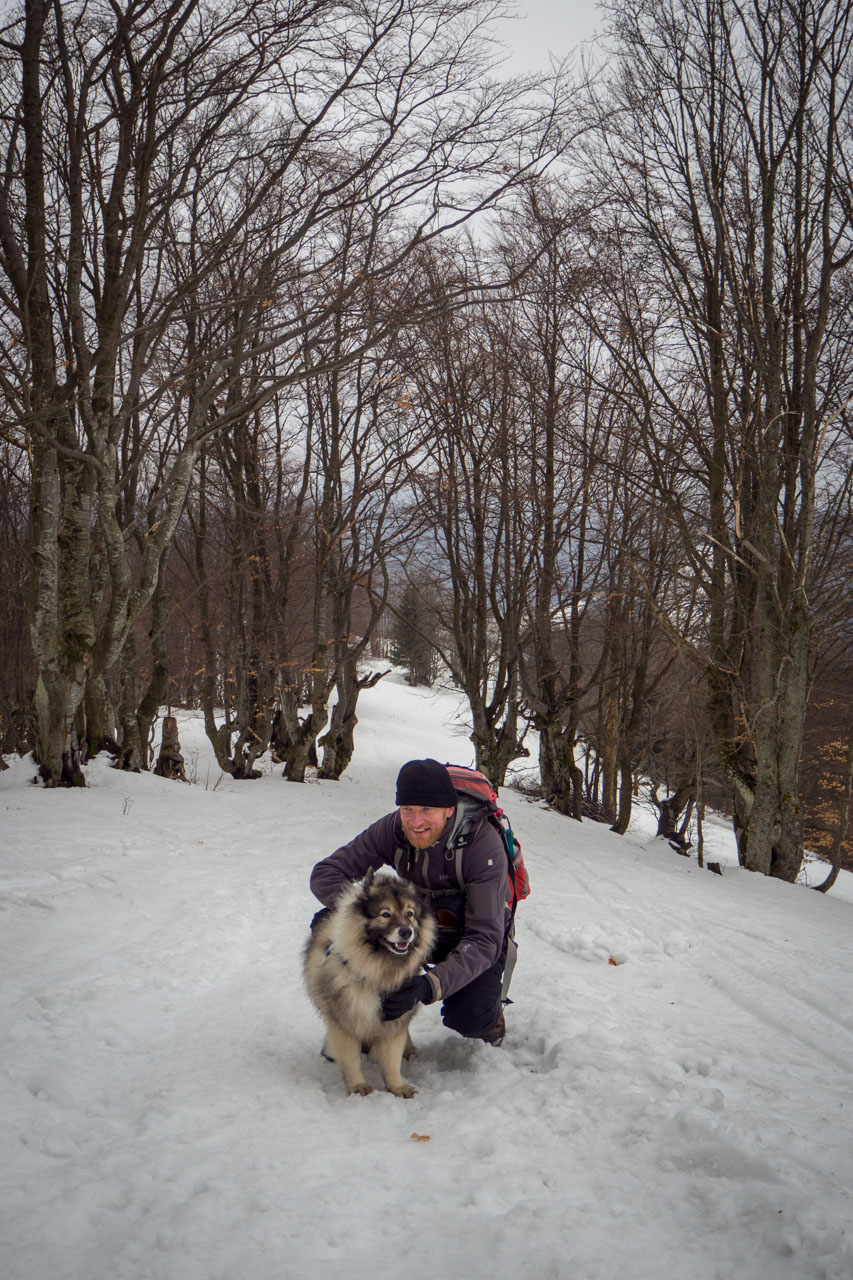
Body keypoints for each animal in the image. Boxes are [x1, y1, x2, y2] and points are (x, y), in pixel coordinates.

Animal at [302, 870, 435, 1100]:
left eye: (410, 914)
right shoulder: (346, 1021)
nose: (406, 931)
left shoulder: (395, 1017)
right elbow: (351, 1059)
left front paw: (398, 1086)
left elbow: (392, 1061)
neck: (377, 973)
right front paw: (358, 1087)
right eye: (385, 914)